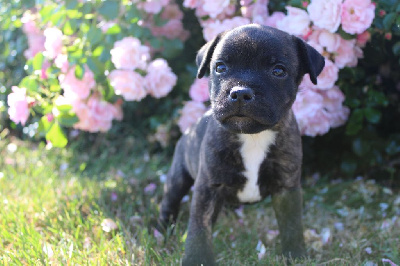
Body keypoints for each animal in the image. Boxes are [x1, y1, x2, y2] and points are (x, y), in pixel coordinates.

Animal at [159, 24, 324, 264]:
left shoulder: (287, 188)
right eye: (220, 67)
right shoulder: (208, 187)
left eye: (278, 71)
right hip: (178, 177)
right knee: (170, 201)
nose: (240, 92)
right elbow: (199, 226)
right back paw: (162, 230)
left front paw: (295, 255)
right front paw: (196, 258)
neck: (252, 136)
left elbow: (292, 225)